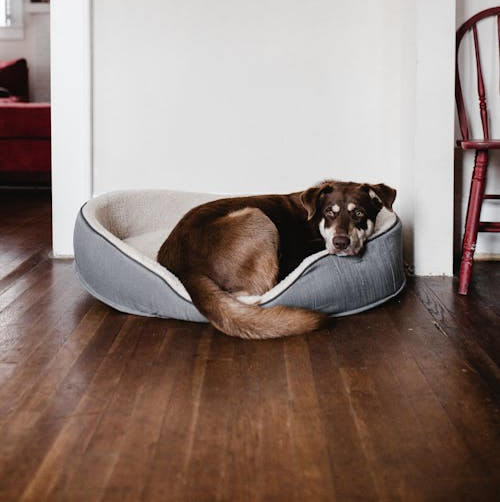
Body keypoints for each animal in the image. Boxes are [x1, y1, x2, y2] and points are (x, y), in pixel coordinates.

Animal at [156, 180, 394, 342]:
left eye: (359, 213)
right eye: (329, 212)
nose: (341, 242)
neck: (315, 221)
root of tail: (183, 269)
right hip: (258, 217)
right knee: (257, 292)